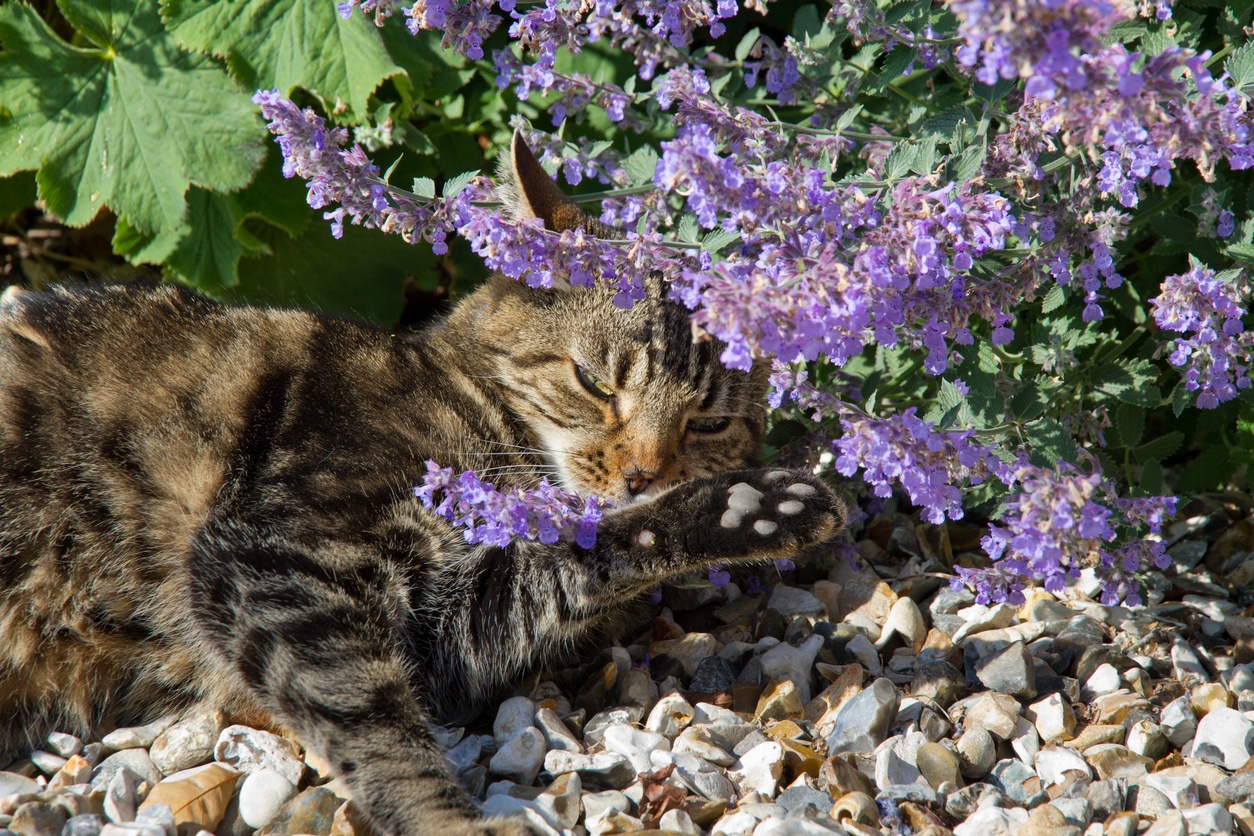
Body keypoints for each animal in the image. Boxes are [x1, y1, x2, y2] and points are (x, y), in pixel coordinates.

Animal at [0, 134, 847, 832]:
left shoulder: (446, 628)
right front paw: (447, 819)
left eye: (708, 422)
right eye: (594, 382)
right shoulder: (274, 557)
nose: (646, 473)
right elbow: (375, 724)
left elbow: (569, 561)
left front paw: (752, 507)